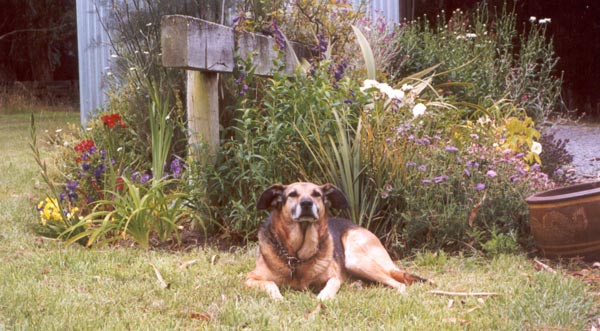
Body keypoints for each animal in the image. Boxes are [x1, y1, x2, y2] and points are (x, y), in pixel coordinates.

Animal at [244, 182, 426, 300]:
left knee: (399, 284)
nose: (307, 203)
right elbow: (271, 284)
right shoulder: (250, 279)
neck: (296, 257)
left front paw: (322, 298)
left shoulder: (334, 278)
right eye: (292, 194)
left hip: (356, 259)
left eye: (316, 194)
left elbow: (330, 287)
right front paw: (278, 298)